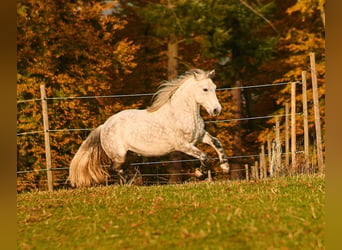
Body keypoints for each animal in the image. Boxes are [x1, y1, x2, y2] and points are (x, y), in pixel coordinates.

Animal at [68, 69, 230, 188]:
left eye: (215, 88)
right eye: (205, 89)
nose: (216, 110)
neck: (181, 113)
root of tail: (104, 126)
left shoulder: (200, 136)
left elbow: (217, 143)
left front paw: (225, 167)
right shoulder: (183, 145)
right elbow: (204, 156)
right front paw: (199, 174)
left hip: (129, 155)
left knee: (122, 168)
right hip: (119, 155)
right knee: (114, 168)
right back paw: (130, 183)